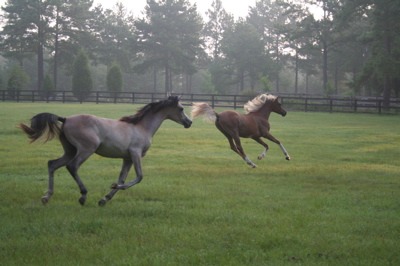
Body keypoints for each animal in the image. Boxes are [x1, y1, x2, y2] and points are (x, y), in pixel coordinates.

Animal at [19, 95, 192, 206]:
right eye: (181, 108)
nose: (189, 122)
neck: (142, 128)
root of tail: (66, 119)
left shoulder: (127, 158)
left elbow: (122, 178)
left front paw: (104, 199)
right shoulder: (135, 154)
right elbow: (139, 177)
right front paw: (113, 187)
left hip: (70, 150)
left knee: (52, 164)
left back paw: (46, 197)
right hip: (86, 149)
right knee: (72, 166)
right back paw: (83, 195)